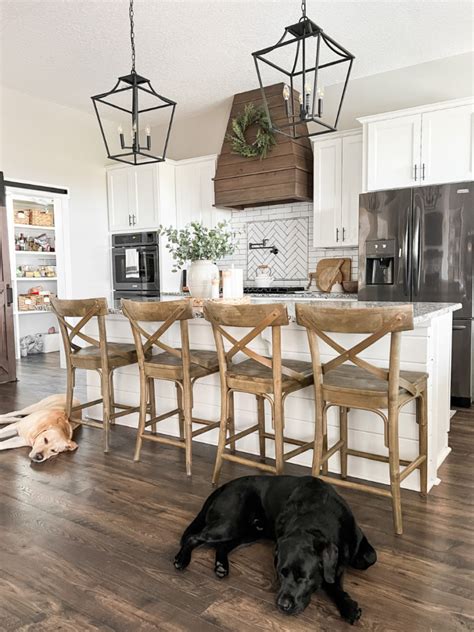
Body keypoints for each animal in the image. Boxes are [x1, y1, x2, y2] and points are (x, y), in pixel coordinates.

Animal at [175, 474, 378, 624]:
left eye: (303, 577)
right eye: (281, 573)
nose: (283, 605)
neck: (315, 516)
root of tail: (225, 485)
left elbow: (368, 558)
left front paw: (347, 605)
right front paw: (347, 605)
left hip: (249, 532)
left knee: (222, 545)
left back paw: (221, 566)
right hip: (229, 524)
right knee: (194, 537)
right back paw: (181, 560)